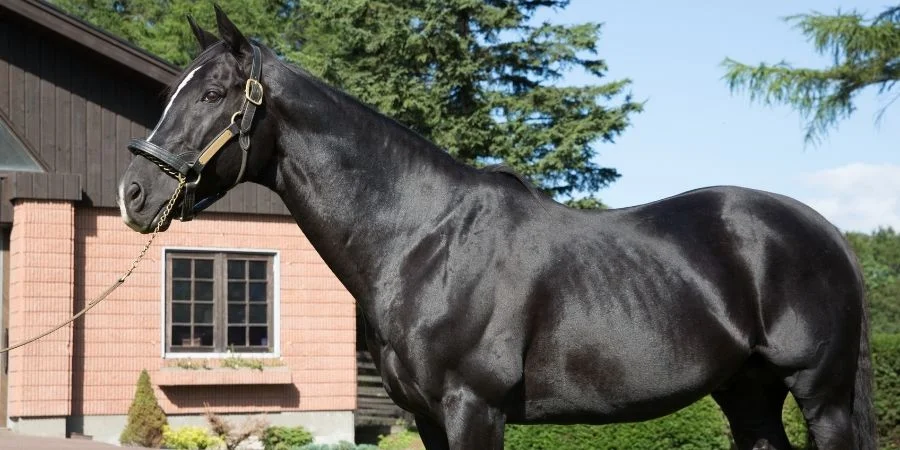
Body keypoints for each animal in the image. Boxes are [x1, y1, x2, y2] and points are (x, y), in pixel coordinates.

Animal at [117, 8, 875, 449]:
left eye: (213, 94)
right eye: (175, 91)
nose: (133, 193)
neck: (423, 242)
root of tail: (828, 232)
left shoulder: (473, 408)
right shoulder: (429, 418)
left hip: (822, 397)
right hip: (749, 394)